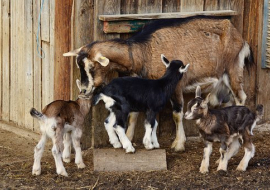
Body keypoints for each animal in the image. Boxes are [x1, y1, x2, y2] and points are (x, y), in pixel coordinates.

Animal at [63, 17, 253, 152]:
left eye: (92, 66)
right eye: (79, 66)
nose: (84, 90)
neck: (143, 52)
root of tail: (239, 35)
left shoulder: (176, 86)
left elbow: (177, 114)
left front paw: (178, 144)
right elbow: (133, 115)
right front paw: (129, 138)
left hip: (233, 68)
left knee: (240, 97)